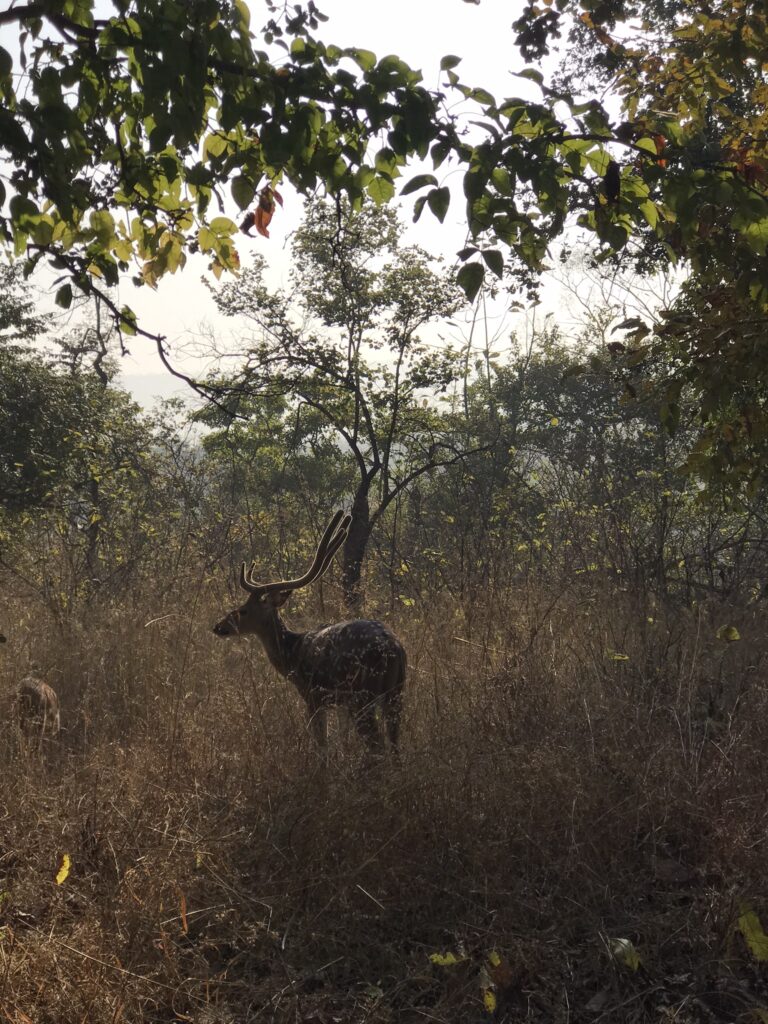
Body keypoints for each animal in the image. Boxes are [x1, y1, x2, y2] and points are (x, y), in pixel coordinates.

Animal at [213, 510, 406, 753]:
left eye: (243, 610)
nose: (218, 626)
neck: (291, 654)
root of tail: (392, 648)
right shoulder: (338, 704)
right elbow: (342, 741)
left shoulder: (312, 695)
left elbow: (321, 744)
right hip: (396, 692)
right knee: (395, 745)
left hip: (363, 695)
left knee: (377, 746)